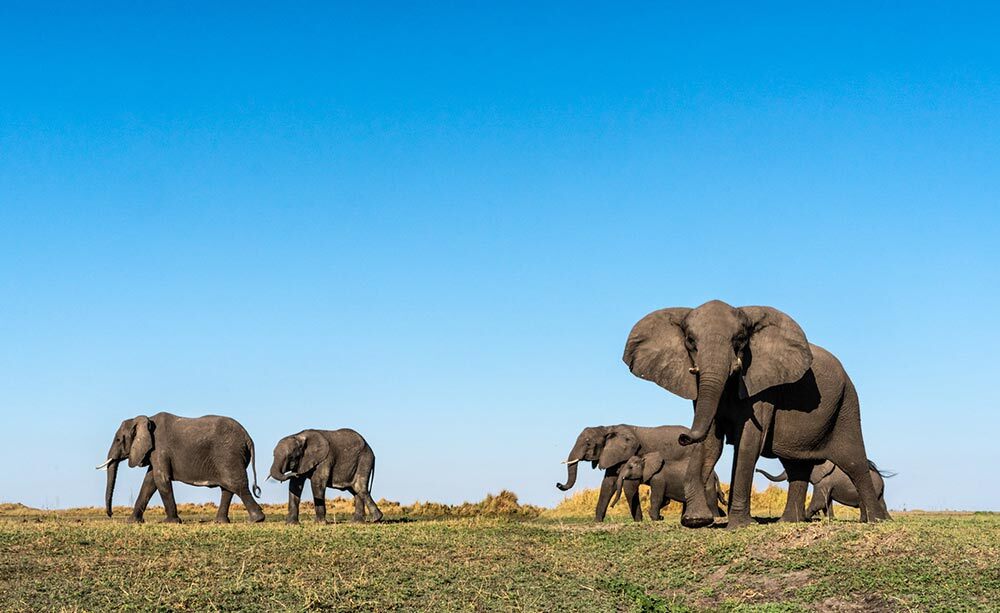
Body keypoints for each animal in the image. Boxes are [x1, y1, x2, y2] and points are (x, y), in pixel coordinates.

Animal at [97, 412, 266, 520]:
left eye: (118, 439)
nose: (110, 514)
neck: (146, 419)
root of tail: (248, 438)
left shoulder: (160, 448)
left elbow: (161, 479)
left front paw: (171, 522)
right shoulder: (154, 452)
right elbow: (149, 481)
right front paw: (132, 522)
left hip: (228, 454)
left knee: (235, 483)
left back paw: (257, 519)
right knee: (228, 487)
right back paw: (221, 522)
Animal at [556, 426, 728, 520]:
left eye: (588, 443)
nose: (558, 484)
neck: (608, 428)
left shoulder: (628, 454)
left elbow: (629, 486)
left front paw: (639, 520)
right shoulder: (613, 455)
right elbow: (608, 484)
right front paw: (598, 521)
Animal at [756, 456, 892, 520]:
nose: (756, 470)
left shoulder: (824, 481)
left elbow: (819, 502)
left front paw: (805, 518)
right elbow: (827, 502)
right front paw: (831, 519)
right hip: (879, 490)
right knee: (881, 503)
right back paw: (887, 520)